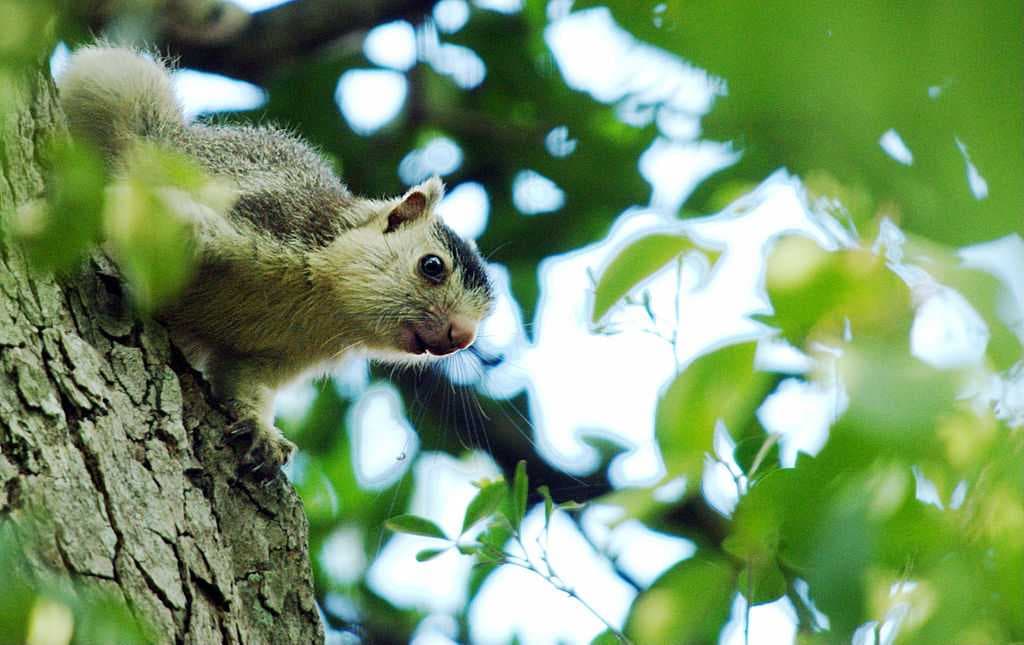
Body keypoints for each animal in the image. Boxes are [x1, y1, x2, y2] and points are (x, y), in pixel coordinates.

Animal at [57, 45, 495, 480]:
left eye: (484, 317)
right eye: (432, 266)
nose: (462, 336)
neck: (326, 305)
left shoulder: (273, 355)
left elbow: (244, 381)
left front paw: (261, 433)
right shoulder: (273, 217)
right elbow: (165, 219)